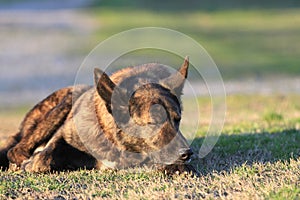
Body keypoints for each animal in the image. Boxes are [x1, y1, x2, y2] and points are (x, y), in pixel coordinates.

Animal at [0, 56, 196, 173]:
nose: (187, 153)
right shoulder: (62, 136)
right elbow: (43, 159)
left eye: (178, 119)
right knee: (15, 150)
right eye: (153, 123)